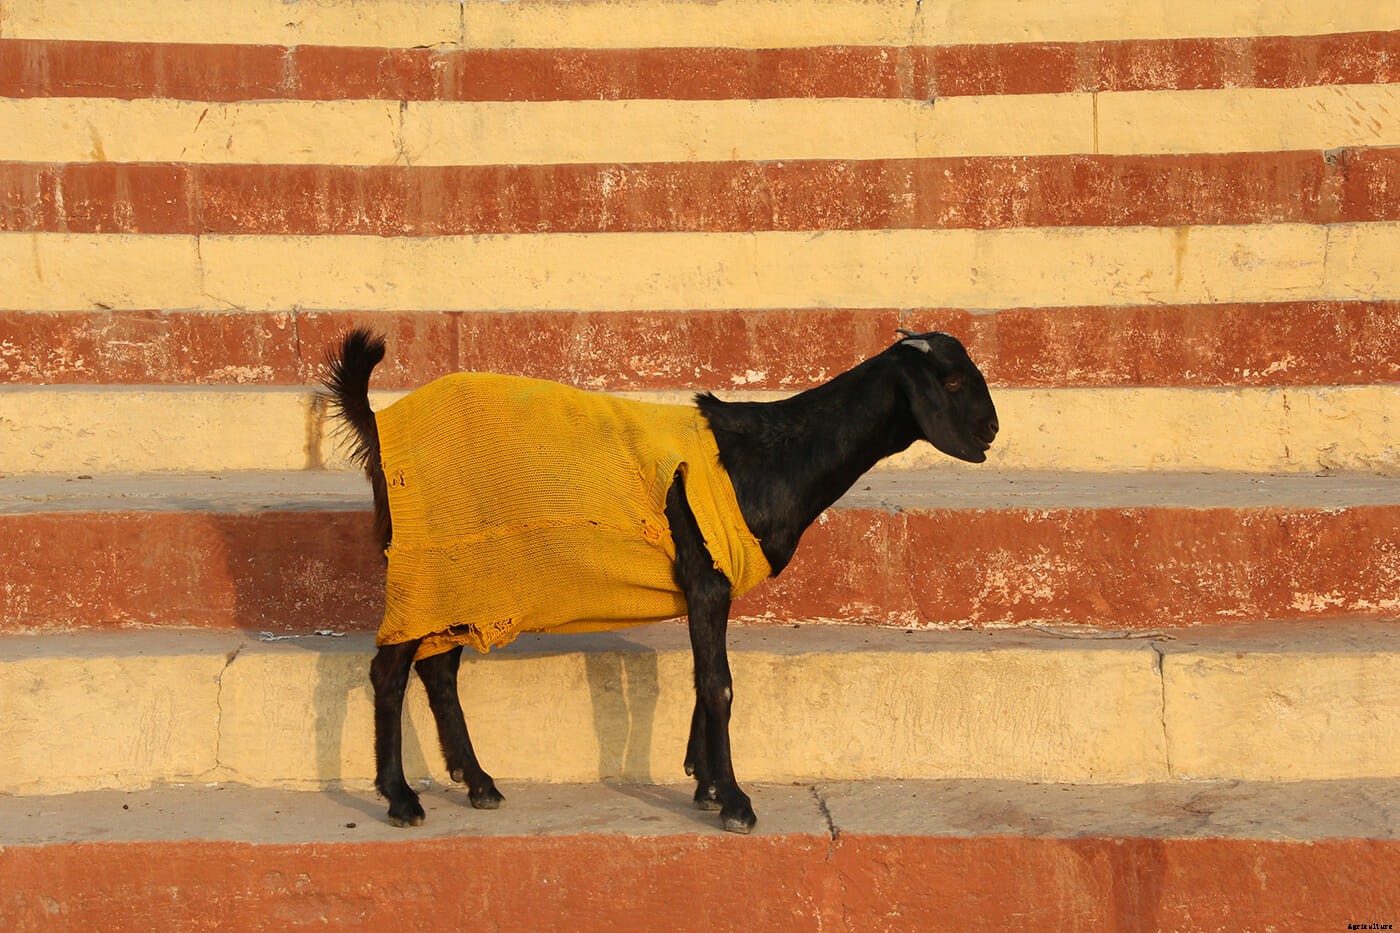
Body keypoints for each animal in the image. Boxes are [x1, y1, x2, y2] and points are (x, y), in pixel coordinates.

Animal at [321, 327, 998, 833]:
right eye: (951, 381)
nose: (991, 433)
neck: (771, 455)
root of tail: (379, 428)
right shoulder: (707, 573)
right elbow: (719, 683)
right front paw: (735, 802)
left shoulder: (712, 586)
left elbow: (704, 678)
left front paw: (705, 785)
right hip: (425, 567)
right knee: (388, 670)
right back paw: (401, 798)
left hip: (462, 577)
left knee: (438, 668)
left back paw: (479, 783)